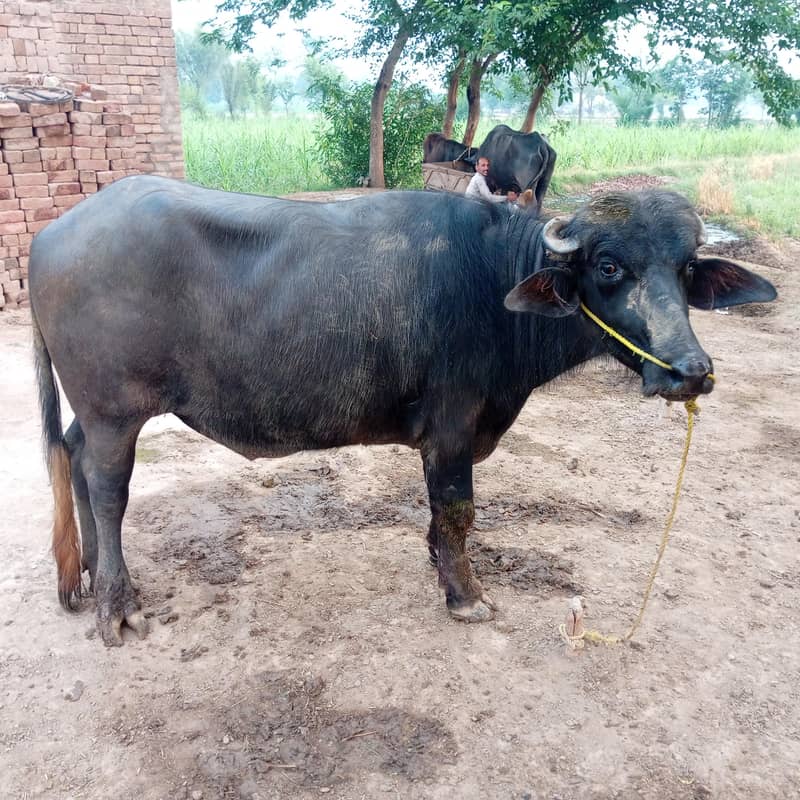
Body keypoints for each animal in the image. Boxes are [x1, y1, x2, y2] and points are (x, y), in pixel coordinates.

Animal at [30, 177, 776, 645]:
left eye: (685, 268)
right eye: (611, 266)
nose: (689, 371)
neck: (494, 278)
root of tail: (48, 236)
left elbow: (439, 516)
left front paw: (438, 564)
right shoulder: (452, 422)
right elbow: (457, 508)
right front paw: (466, 594)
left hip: (94, 415)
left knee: (72, 455)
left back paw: (92, 576)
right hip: (116, 412)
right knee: (108, 489)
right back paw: (117, 609)